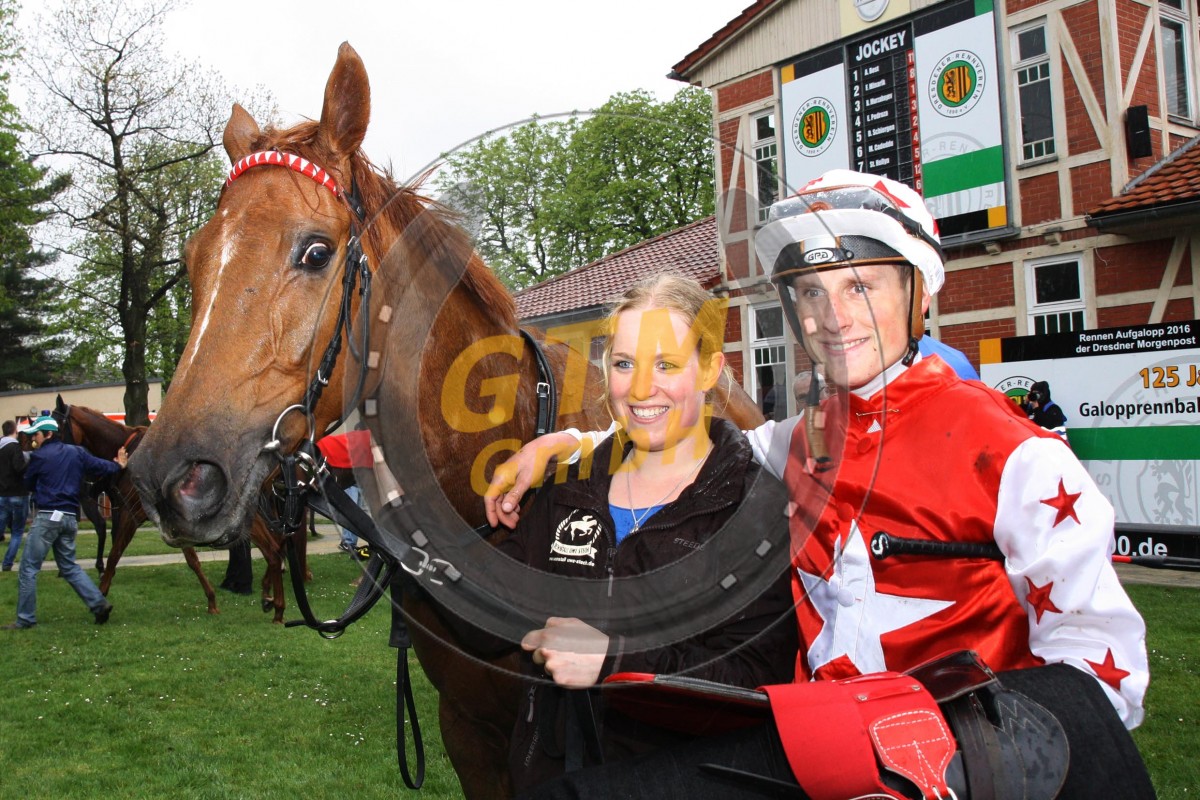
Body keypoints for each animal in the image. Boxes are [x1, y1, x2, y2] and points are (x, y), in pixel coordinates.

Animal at [54, 397, 308, 623]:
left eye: (55, 431)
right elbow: (192, 560)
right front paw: (211, 601)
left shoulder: (131, 515)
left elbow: (115, 554)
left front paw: (102, 598)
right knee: (277, 545)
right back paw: (271, 598)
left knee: (273, 551)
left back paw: (277, 607)